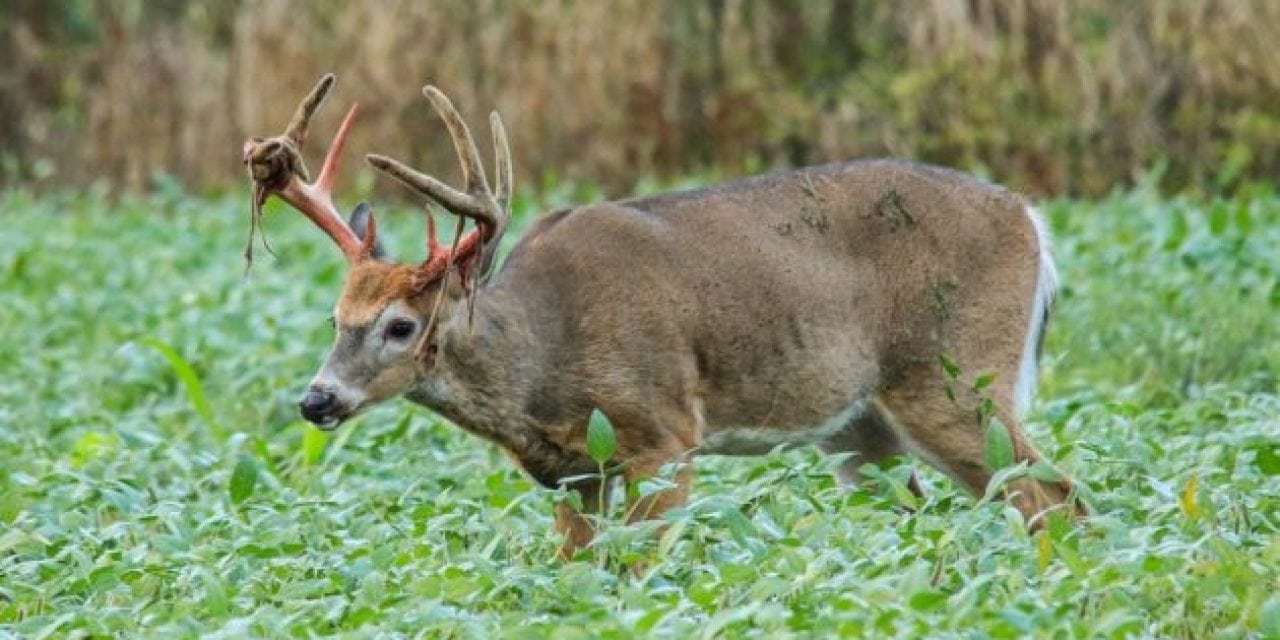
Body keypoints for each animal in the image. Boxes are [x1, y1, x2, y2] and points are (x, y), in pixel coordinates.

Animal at [241, 73, 1080, 555]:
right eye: (335, 317)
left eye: (401, 326)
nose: (316, 399)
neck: (541, 366)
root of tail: (1031, 218)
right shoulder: (572, 475)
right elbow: (576, 568)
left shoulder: (665, 432)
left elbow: (645, 568)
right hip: (860, 432)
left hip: (955, 379)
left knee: (1055, 495)